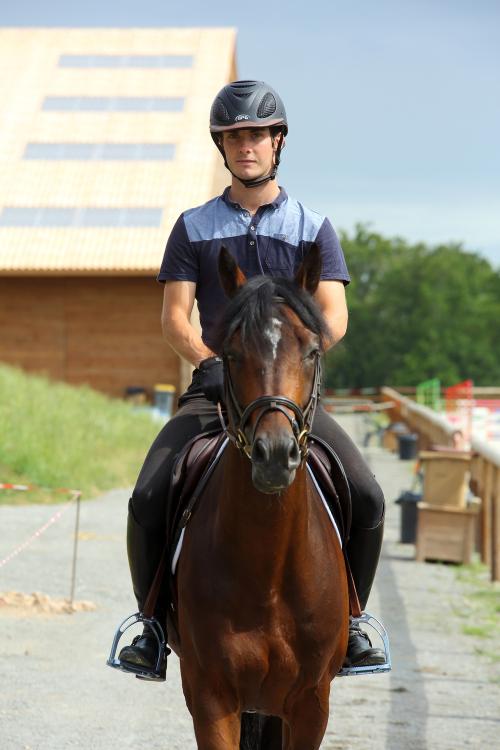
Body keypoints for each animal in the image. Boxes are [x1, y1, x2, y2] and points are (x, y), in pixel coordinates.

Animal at [167, 244, 348, 748]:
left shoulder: (311, 704)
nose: (275, 455)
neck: (268, 570)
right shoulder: (211, 696)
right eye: (230, 354)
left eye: (312, 351)